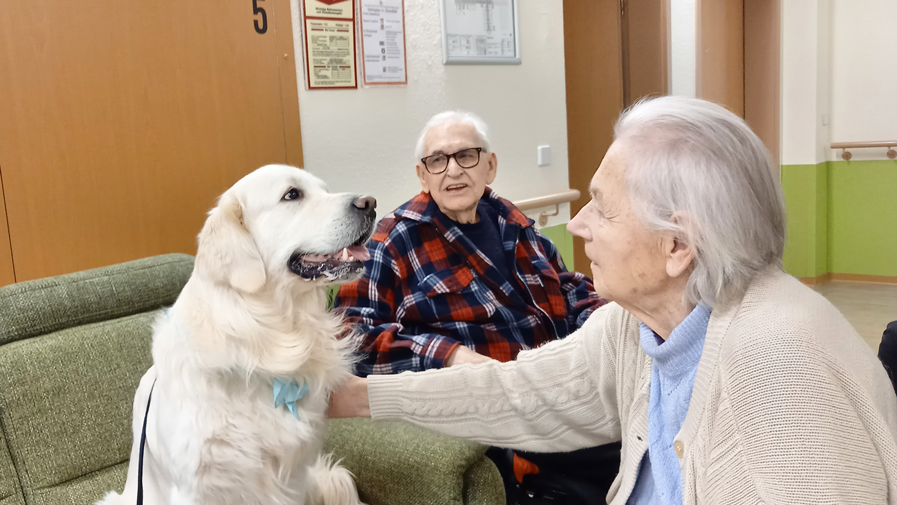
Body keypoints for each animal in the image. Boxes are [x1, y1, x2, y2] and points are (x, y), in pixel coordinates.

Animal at [99, 165, 374, 504]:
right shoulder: (194, 487)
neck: (265, 332)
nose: (370, 203)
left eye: (325, 189)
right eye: (292, 194)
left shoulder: (292, 476)